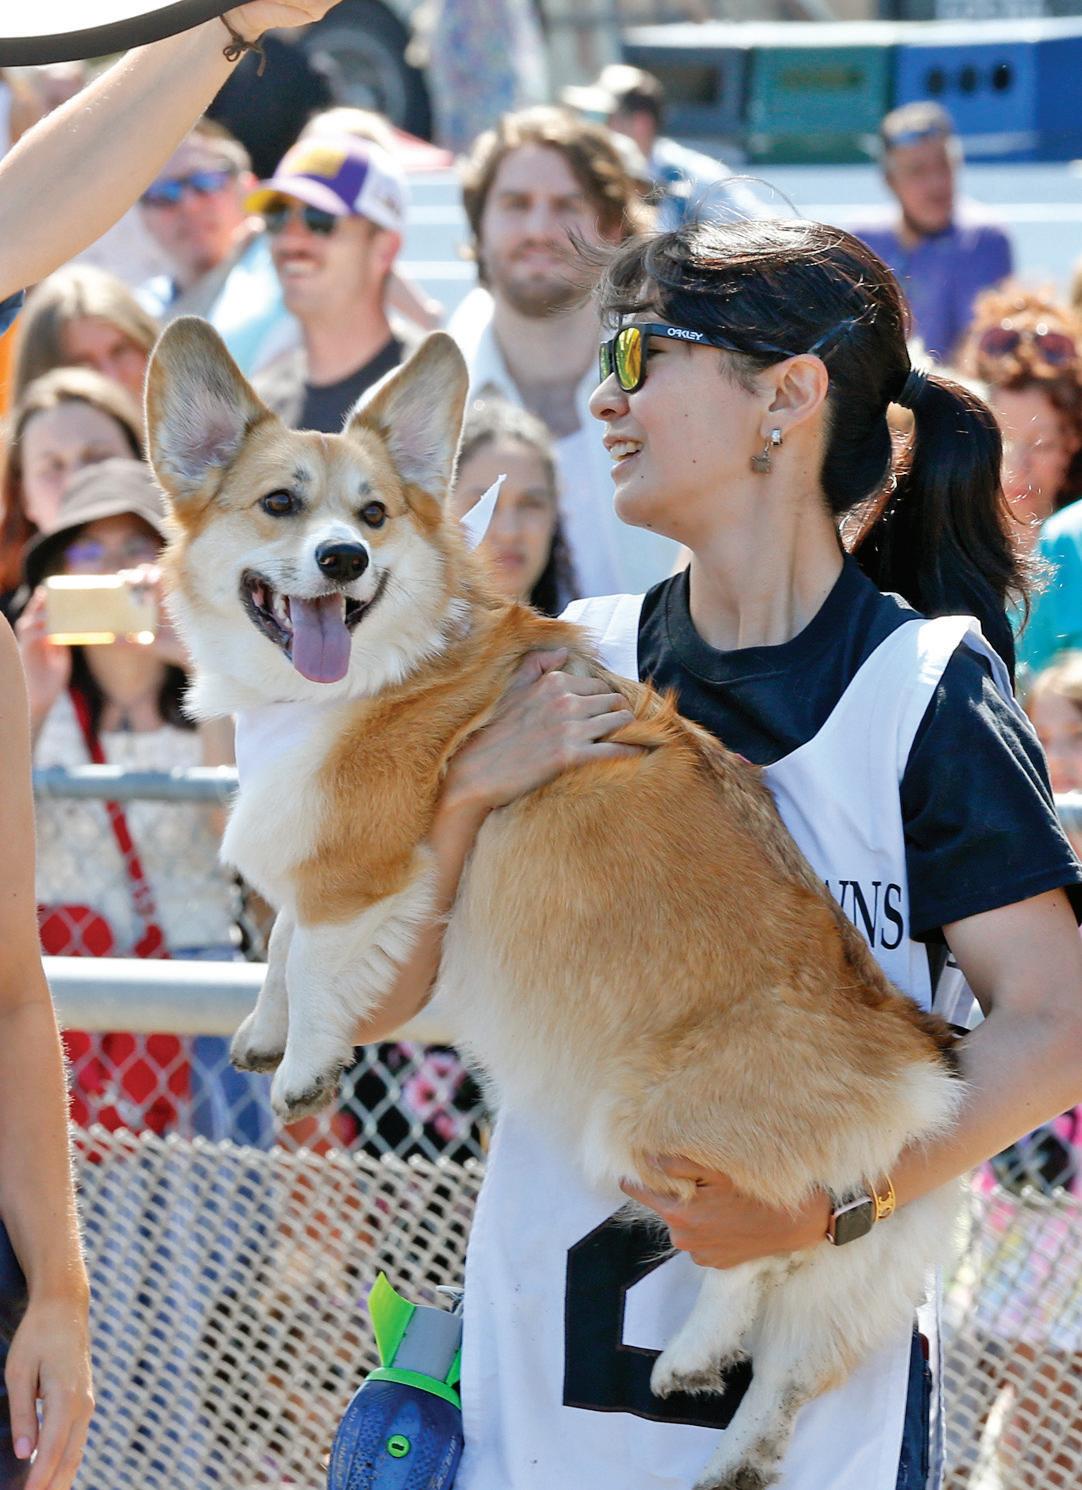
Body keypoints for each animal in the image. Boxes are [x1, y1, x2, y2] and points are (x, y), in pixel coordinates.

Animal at [146, 317, 964, 1490]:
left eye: (374, 516)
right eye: (280, 504)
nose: (345, 560)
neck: (365, 671)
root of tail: (914, 1062)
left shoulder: (365, 866)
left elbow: (314, 954)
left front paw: (301, 1064)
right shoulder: (329, 861)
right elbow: (284, 940)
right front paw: (262, 1030)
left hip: (647, 1129)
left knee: (768, 1247)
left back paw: (691, 1351)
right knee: (797, 1346)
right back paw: (737, 1443)